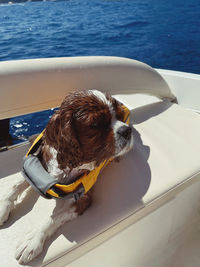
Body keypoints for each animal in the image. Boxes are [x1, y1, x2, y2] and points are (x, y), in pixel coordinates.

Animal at [0, 89, 134, 264]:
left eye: (119, 116)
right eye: (96, 124)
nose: (127, 130)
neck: (66, 165)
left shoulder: (83, 199)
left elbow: (53, 218)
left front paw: (32, 240)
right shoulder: (34, 165)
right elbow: (16, 184)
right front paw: (3, 205)